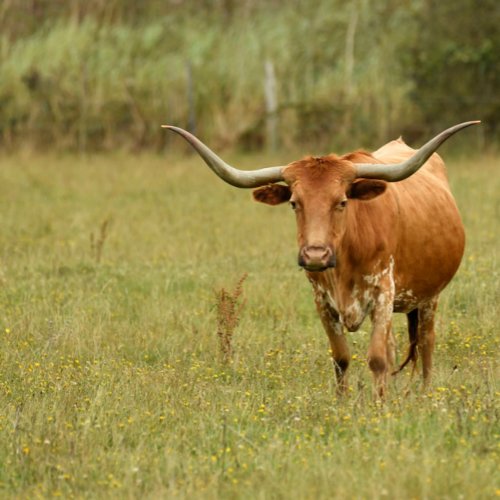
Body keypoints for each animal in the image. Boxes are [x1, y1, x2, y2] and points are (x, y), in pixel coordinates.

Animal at [163, 121, 476, 394]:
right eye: (294, 203)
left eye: (342, 202)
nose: (315, 255)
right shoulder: (323, 302)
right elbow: (342, 358)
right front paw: (344, 403)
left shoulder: (383, 293)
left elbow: (376, 359)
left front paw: (380, 408)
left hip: (429, 298)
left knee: (425, 344)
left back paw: (424, 395)